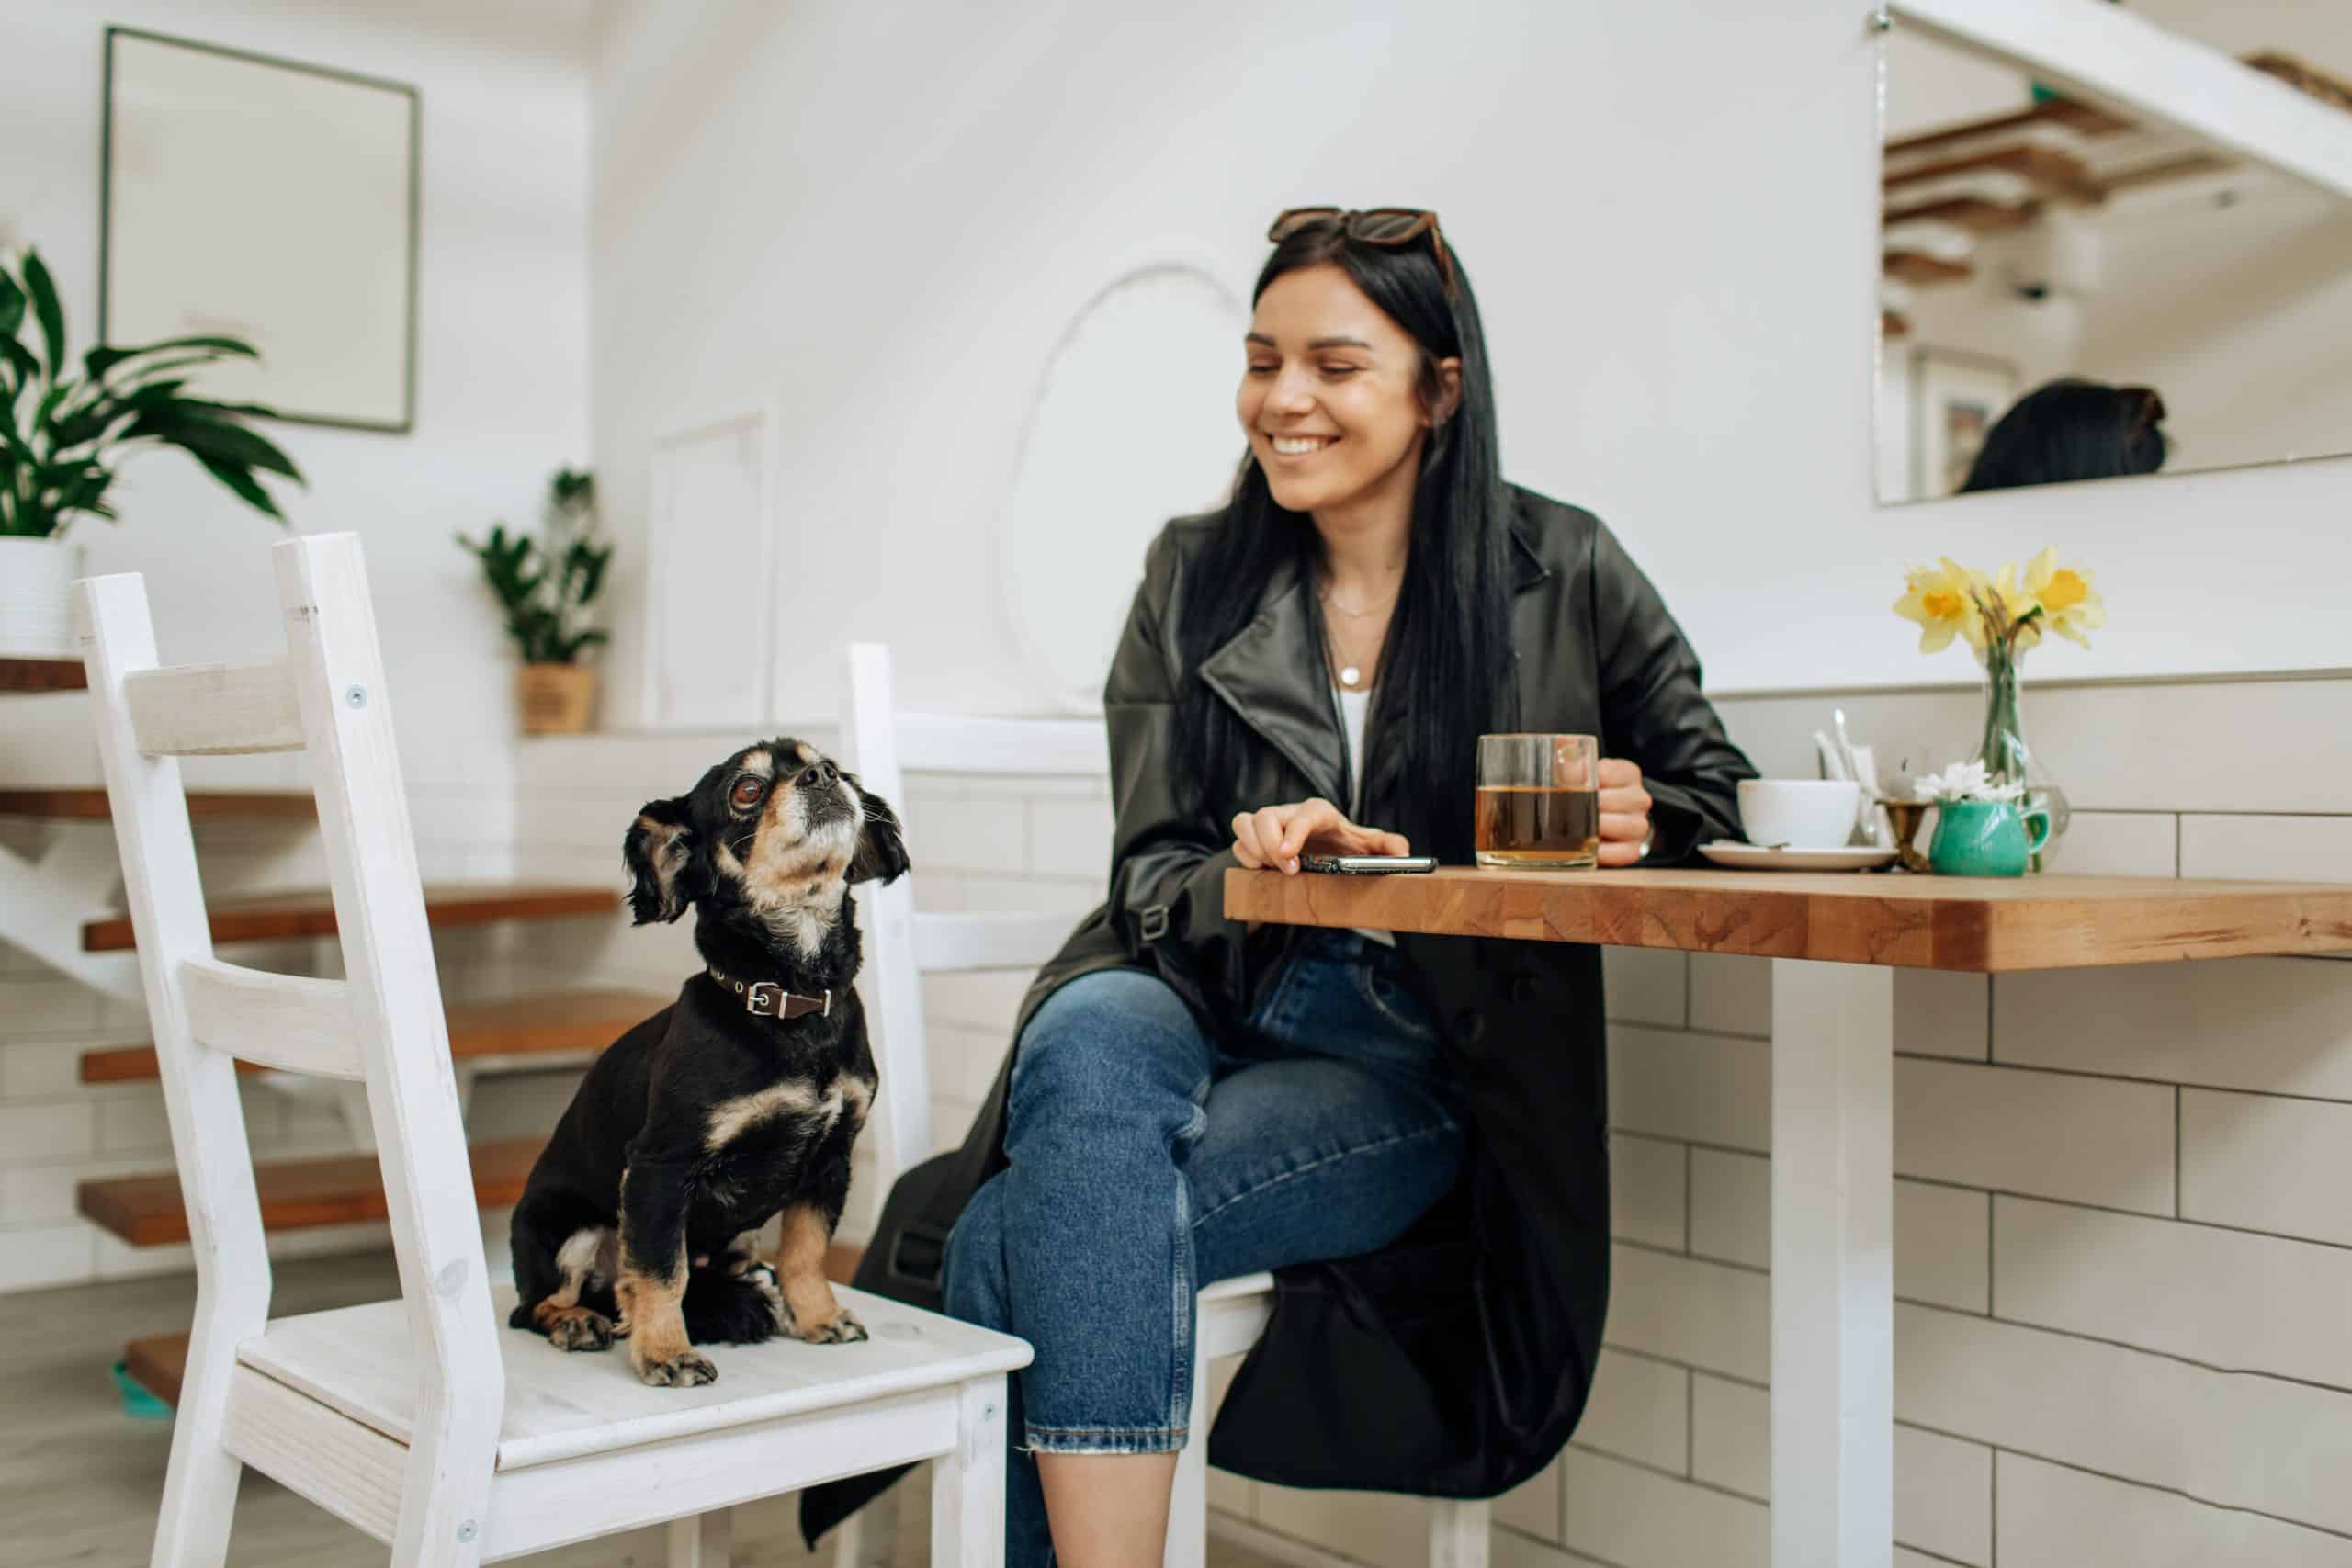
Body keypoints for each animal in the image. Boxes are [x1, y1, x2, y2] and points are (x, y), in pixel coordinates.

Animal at [507, 738, 908, 1382]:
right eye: (746, 790)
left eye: (832, 767)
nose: (824, 777)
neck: (790, 1003)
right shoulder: (660, 1168)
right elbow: (660, 1272)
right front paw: (666, 1351)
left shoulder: (831, 1159)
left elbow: (806, 1253)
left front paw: (817, 1316)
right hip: (571, 1231)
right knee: (541, 1304)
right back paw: (579, 1322)